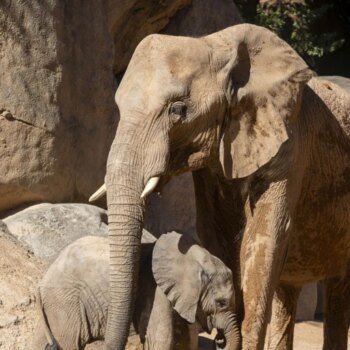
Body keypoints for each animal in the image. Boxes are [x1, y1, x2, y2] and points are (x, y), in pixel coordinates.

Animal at [33, 232, 241, 350]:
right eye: (221, 303)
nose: (219, 340)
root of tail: (42, 281)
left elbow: (187, 341)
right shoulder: (155, 292)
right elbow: (160, 340)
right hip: (64, 302)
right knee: (69, 342)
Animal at [90, 23, 350, 348]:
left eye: (178, 110)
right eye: (119, 106)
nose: (220, 338)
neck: (216, 44)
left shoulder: (290, 145)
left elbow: (263, 240)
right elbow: (220, 240)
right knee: (290, 291)